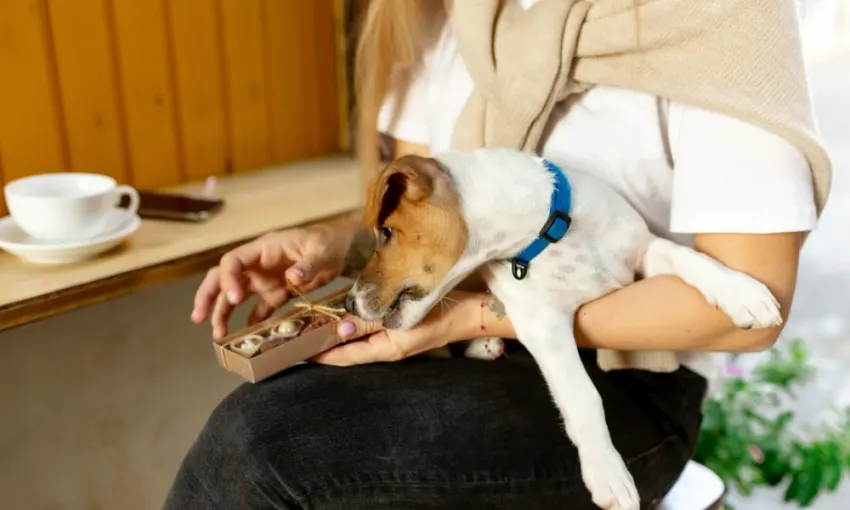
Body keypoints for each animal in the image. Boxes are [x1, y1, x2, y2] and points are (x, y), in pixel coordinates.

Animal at [342, 147, 780, 510]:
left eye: (386, 232)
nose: (348, 303)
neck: (554, 233)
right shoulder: (543, 323)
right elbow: (583, 396)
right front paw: (607, 470)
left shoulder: (644, 250)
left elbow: (686, 255)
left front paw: (741, 292)